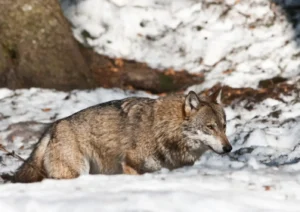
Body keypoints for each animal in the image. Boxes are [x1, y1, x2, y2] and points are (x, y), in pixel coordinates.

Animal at [14, 88, 232, 183]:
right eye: (210, 127)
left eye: (224, 126)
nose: (228, 148)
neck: (163, 129)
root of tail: (53, 126)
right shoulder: (130, 166)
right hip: (76, 172)